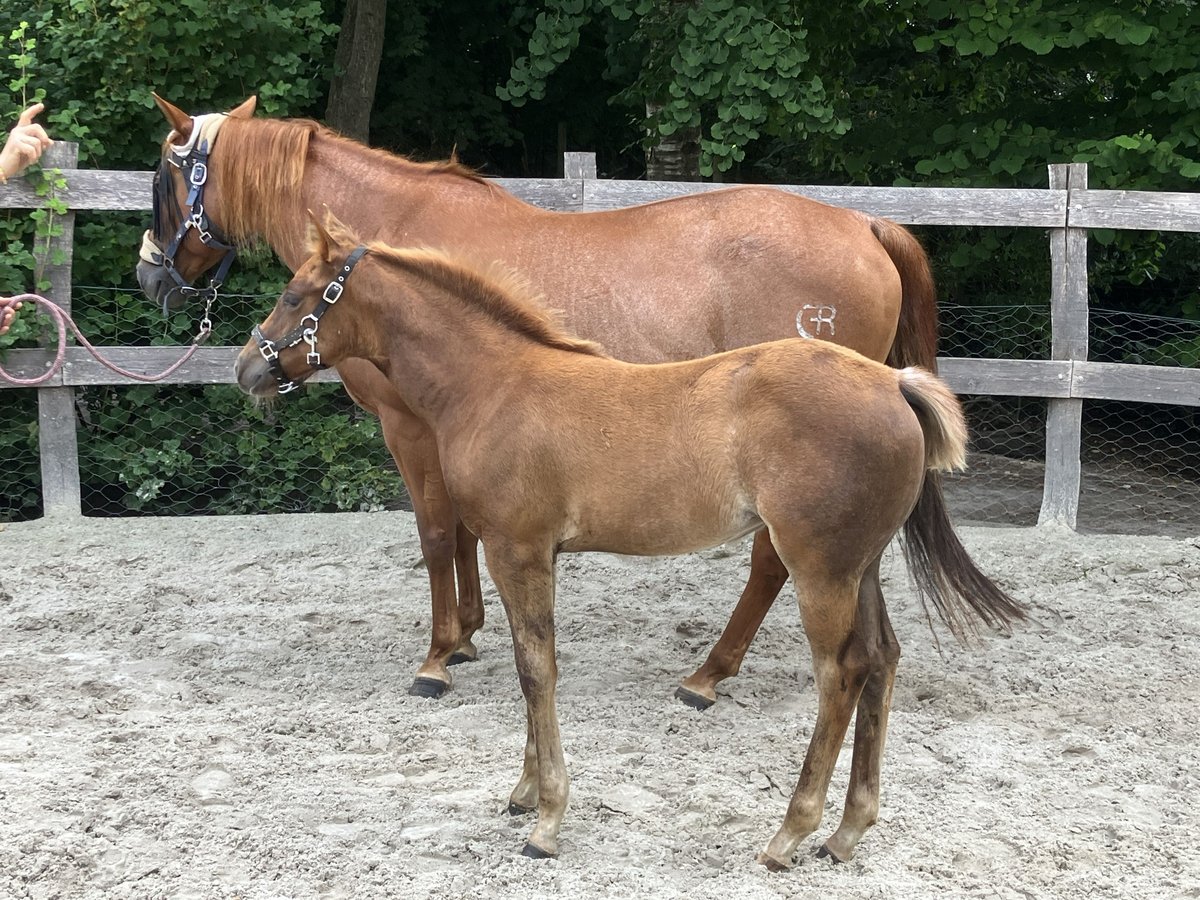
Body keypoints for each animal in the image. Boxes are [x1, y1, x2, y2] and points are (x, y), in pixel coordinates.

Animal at [137, 93, 1018, 706]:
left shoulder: (408, 427)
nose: (151, 274)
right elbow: (465, 533)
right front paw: (468, 636)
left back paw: (708, 673)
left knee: (772, 561)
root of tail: (865, 226)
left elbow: (435, 532)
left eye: (161, 178)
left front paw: (438, 655)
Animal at [234, 209, 1022, 866]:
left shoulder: (518, 550)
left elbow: (536, 671)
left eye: (296, 296)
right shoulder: (521, 554)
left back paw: (789, 833)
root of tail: (894, 385)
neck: (494, 385)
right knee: (883, 659)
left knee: (842, 674)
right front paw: (524, 792)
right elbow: (530, 665)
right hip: (860, 565)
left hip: (821, 568)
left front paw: (547, 820)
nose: (245, 367)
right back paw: (847, 831)